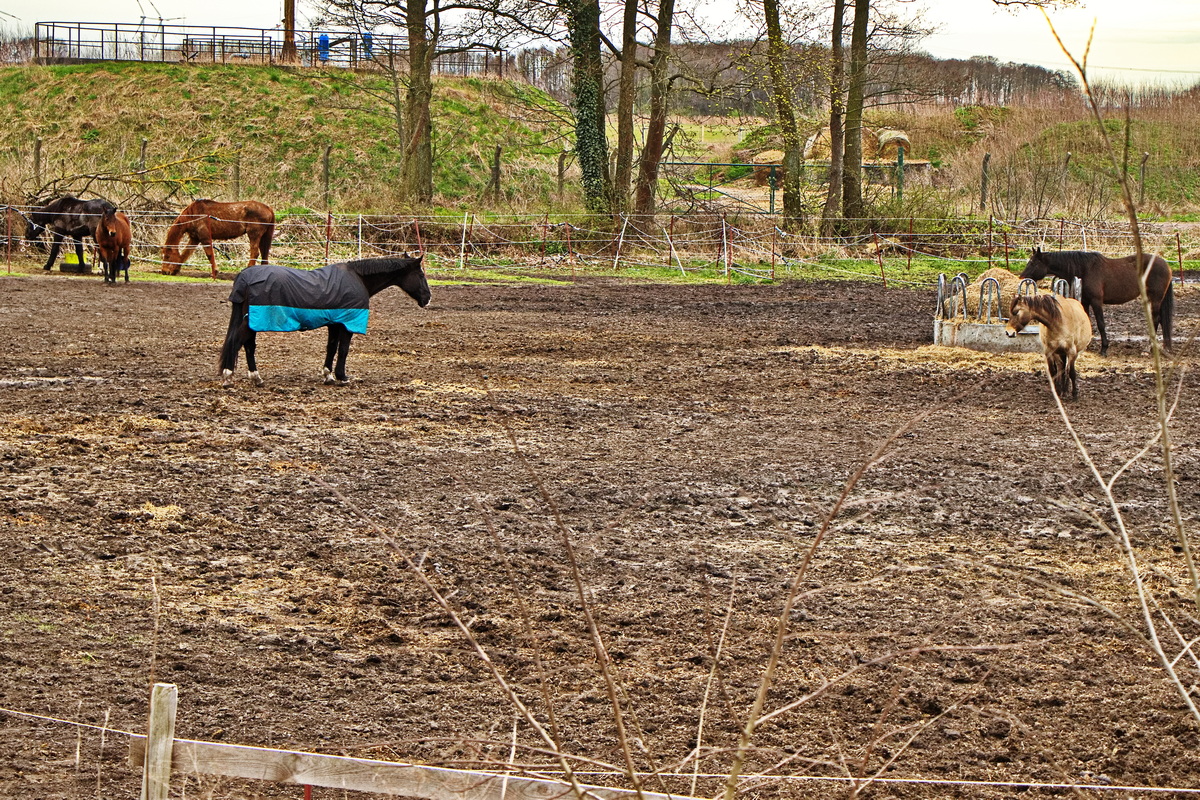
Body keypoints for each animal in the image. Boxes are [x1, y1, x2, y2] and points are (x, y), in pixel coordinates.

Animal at [1017, 245, 1176, 355]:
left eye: (1033, 263)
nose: (1021, 277)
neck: (1085, 269)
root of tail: (1167, 266)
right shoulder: (1085, 301)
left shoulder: (1096, 301)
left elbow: (1101, 323)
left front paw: (1104, 349)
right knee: (1160, 320)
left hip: (1155, 298)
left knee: (1155, 320)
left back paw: (1149, 348)